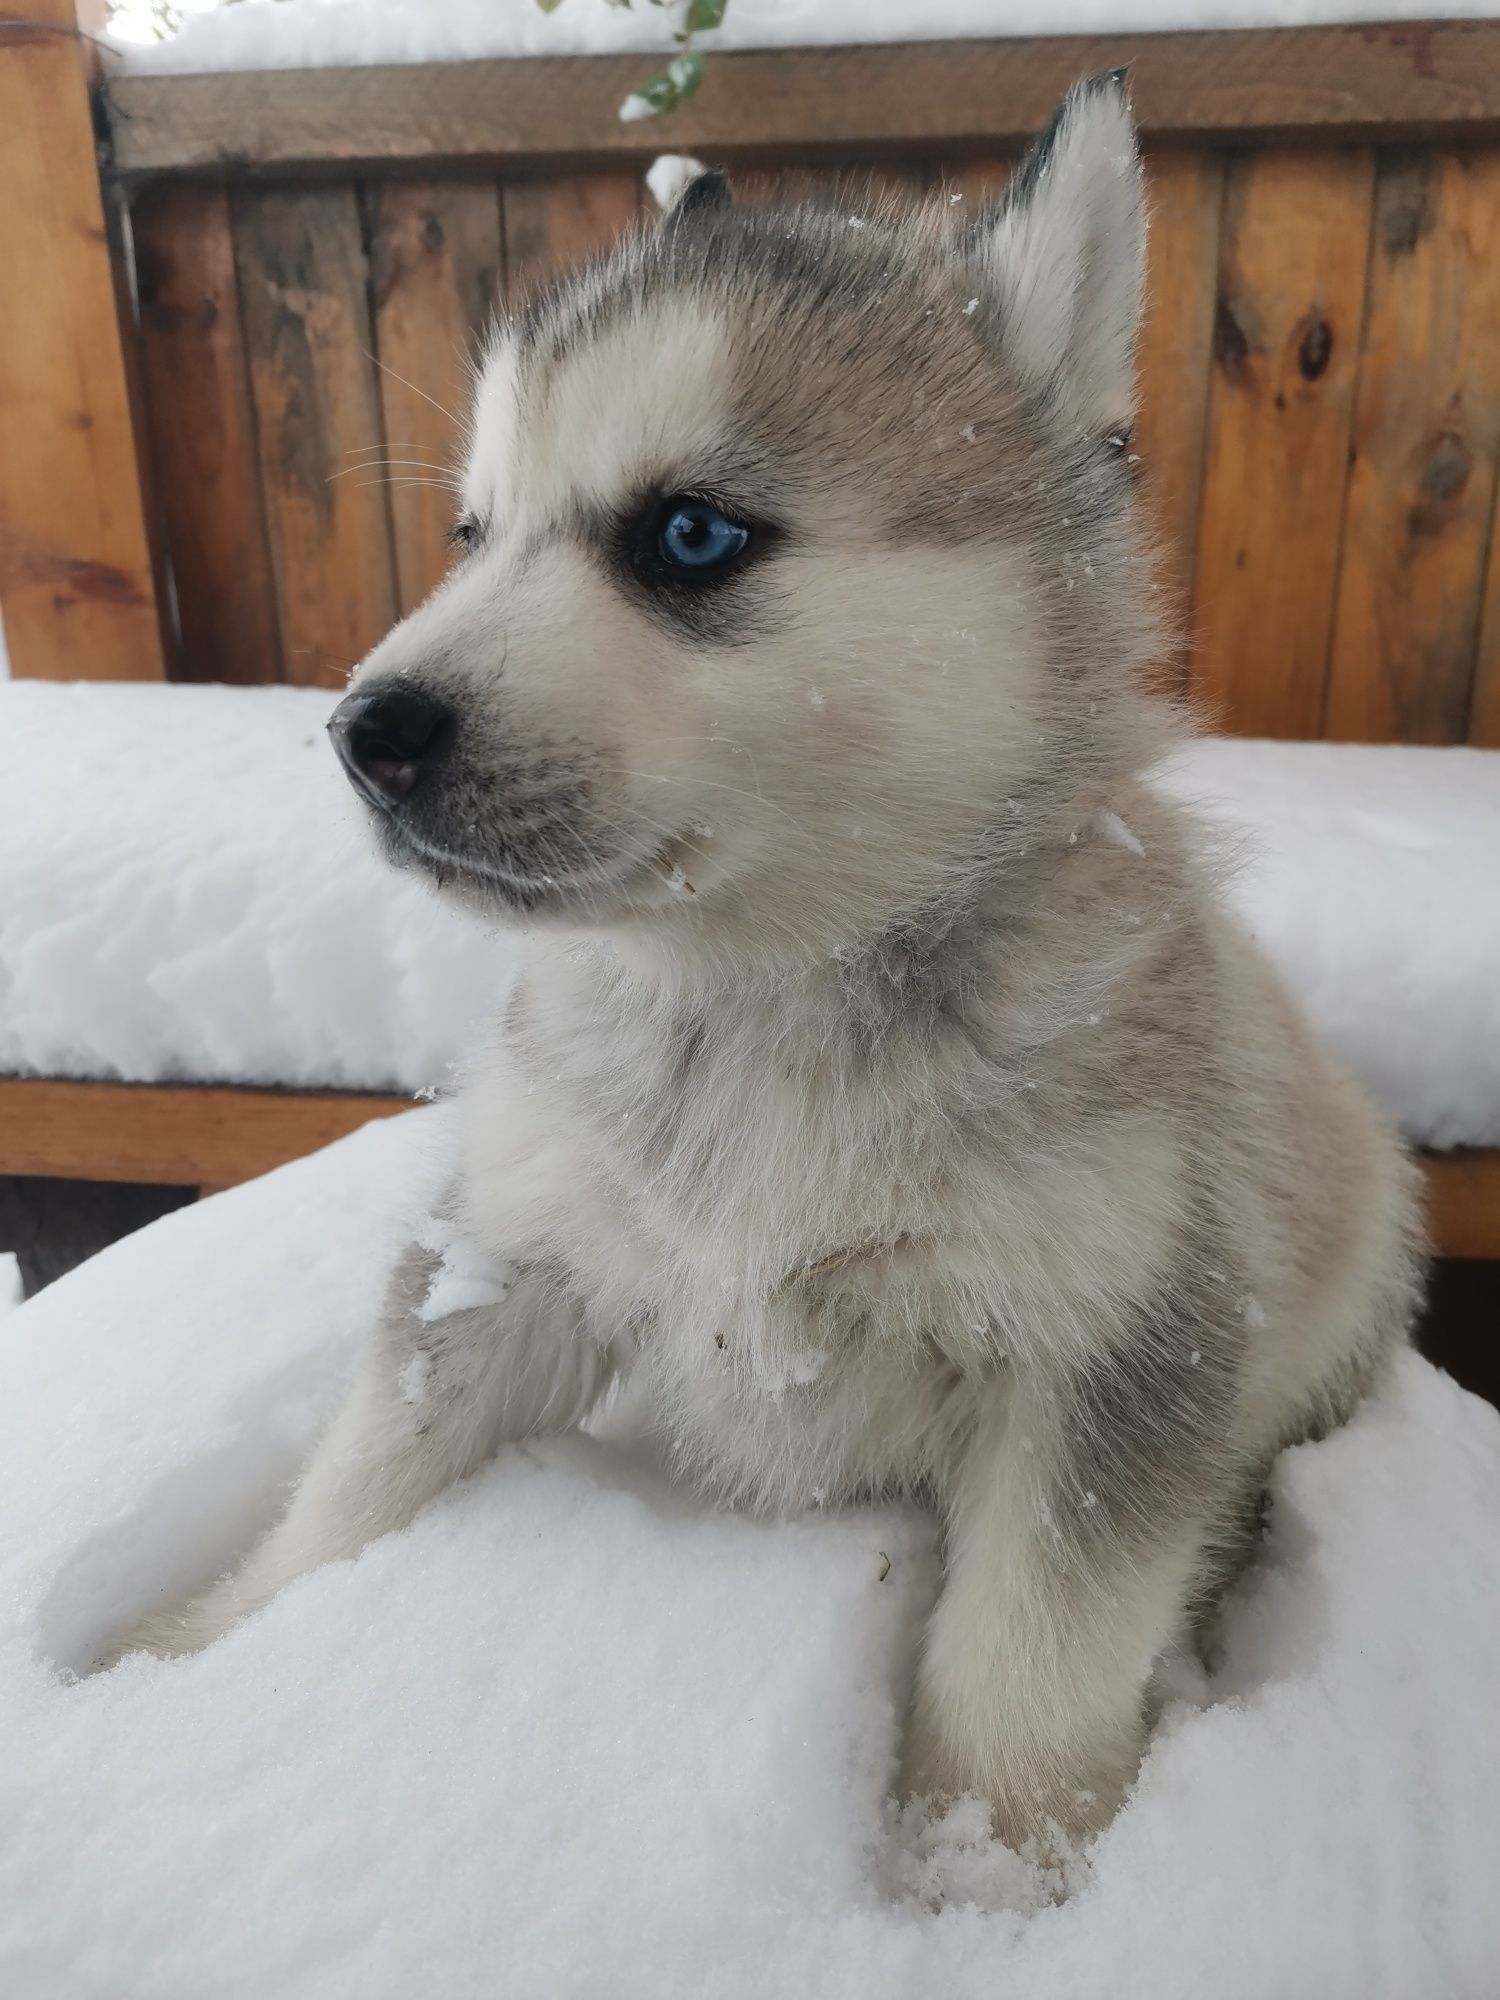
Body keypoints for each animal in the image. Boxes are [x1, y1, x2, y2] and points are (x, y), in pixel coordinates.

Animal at [120, 82, 1424, 1856]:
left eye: (689, 534)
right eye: (472, 532)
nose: (361, 734)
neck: (760, 994)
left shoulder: (1112, 1346)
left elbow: (1026, 1672)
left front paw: (982, 1873)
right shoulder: (512, 1245)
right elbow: (355, 1479)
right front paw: (191, 1662)